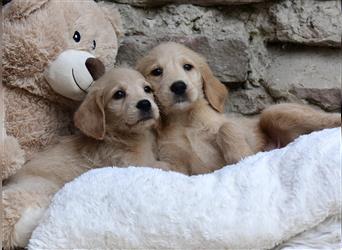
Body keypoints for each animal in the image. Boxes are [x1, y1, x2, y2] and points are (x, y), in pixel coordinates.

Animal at [1, 67, 170, 248]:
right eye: (118, 94)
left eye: (147, 89)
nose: (145, 103)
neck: (119, 137)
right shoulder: (137, 164)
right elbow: (167, 166)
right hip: (42, 189)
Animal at [137, 42, 342, 175]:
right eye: (157, 71)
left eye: (188, 66)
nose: (179, 86)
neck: (186, 121)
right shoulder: (177, 164)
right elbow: (166, 167)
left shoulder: (238, 127)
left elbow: (227, 128)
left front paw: (240, 157)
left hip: (274, 112)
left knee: (326, 119)